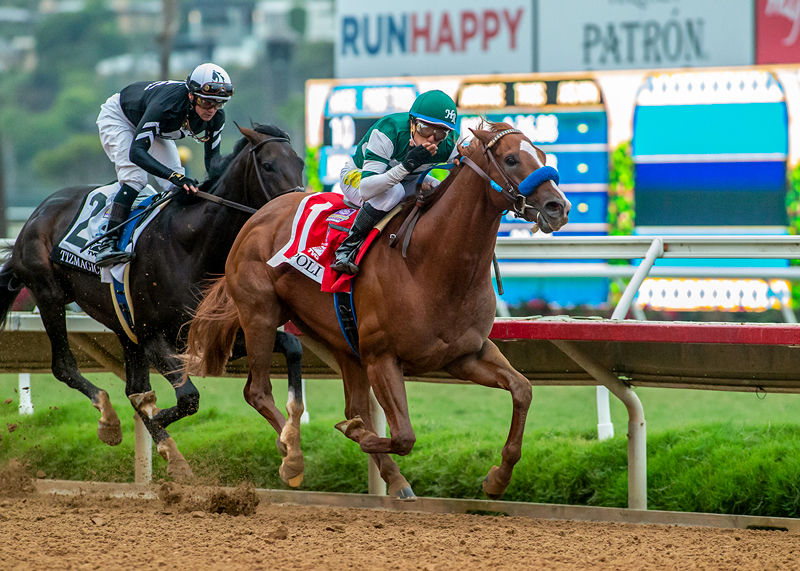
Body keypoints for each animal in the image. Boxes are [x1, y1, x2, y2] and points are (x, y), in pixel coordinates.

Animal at [0, 124, 304, 478]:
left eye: (300, 162)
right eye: (268, 165)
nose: (297, 206)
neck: (194, 246)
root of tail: (35, 216)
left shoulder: (213, 335)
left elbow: (293, 346)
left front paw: (289, 446)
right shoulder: (155, 336)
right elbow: (187, 398)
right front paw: (156, 423)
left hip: (123, 324)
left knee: (133, 387)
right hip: (49, 293)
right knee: (65, 366)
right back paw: (110, 422)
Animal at [184, 123, 572, 498]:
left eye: (541, 154)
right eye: (510, 159)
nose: (559, 207)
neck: (432, 264)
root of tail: (258, 215)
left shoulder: (465, 354)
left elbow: (522, 389)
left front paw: (497, 478)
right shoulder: (382, 357)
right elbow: (402, 435)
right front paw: (353, 435)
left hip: (340, 341)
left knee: (350, 405)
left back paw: (392, 477)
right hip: (260, 314)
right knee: (258, 391)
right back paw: (293, 456)